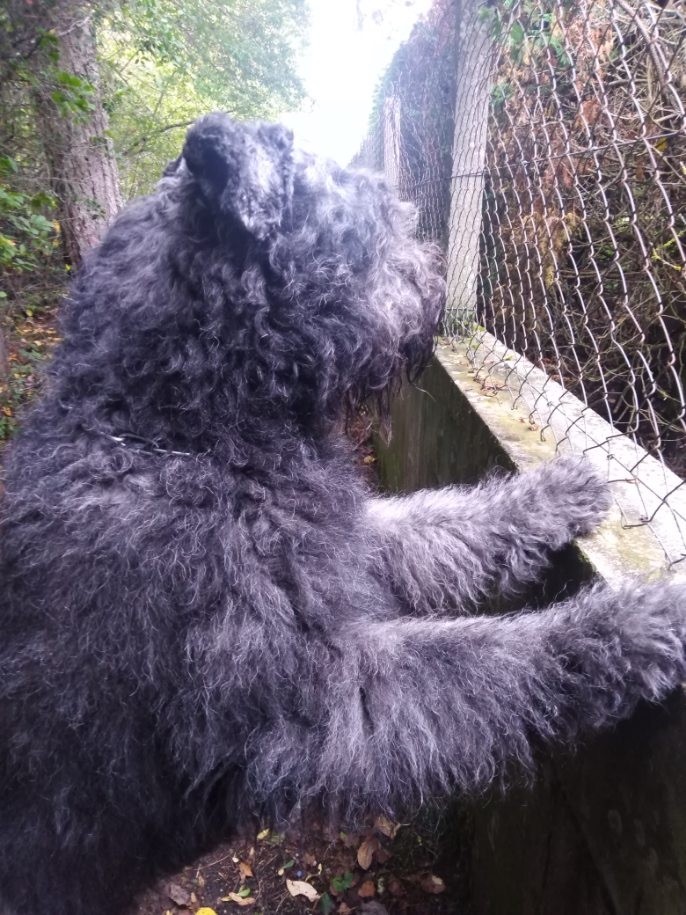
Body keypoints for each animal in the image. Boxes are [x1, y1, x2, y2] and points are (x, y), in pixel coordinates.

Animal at [1, 112, 684, 914]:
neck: (167, 431)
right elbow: (494, 659)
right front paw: (635, 621)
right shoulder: (328, 701)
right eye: (370, 221)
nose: (434, 284)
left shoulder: (344, 544)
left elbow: (444, 524)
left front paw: (559, 490)